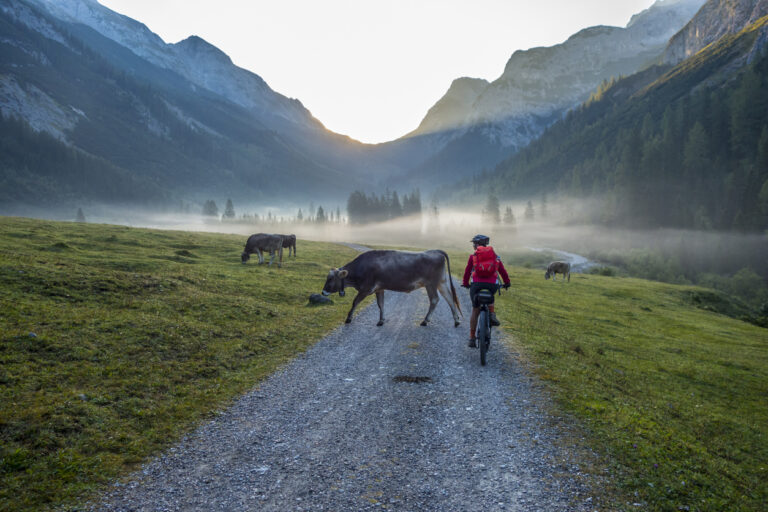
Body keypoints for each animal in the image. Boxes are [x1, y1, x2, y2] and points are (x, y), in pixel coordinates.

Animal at [320, 249, 460, 328]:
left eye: (330, 279)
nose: (323, 291)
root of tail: (435, 251)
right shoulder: (379, 289)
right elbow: (381, 304)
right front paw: (381, 320)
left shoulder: (366, 289)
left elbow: (355, 302)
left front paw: (349, 318)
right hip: (441, 282)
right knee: (449, 297)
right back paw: (456, 321)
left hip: (431, 284)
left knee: (435, 300)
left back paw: (425, 321)